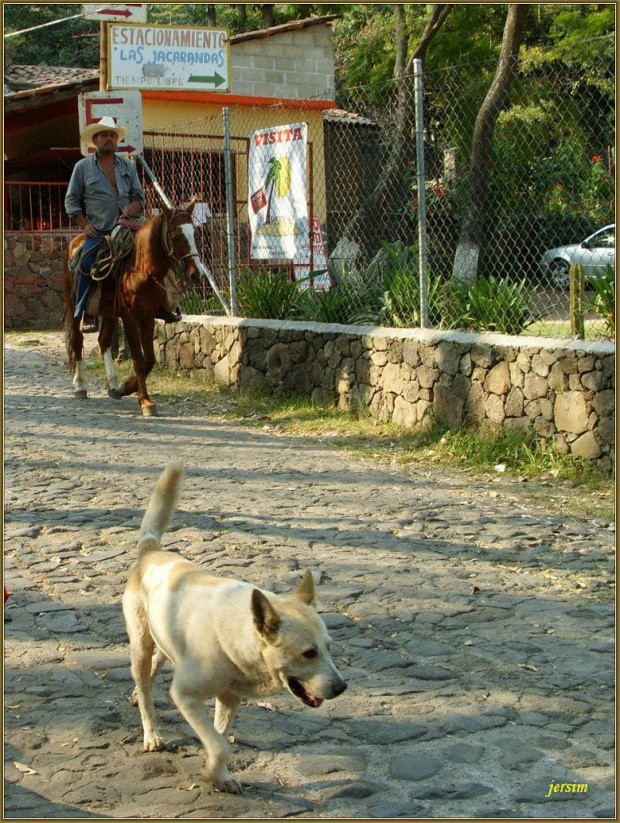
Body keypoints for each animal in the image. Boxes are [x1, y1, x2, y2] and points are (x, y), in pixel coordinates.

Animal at [65, 200, 206, 418]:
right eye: (175, 236)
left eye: (195, 234)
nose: (197, 274)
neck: (141, 270)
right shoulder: (130, 318)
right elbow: (139, 361)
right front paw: (146, 402)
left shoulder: (147, 317)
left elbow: (149, 360)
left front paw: (126, 387)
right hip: (75, 306)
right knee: (76, 340)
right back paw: (80, 386)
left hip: (110, 313)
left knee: (103, 341)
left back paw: (113, 384)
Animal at [121, 464, 344, 792]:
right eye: (308, 653)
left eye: (329, 648)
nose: (342, 688)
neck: (237, 635)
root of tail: (151, 551)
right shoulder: (185, 696)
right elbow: (220, 744)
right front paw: (212, 772)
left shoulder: (229, 698)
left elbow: (220, 736)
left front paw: (220, 775)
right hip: (140, 646)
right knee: (147, 689)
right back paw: (151, 732)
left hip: (161, 639)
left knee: (156, 666)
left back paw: (139, 693)